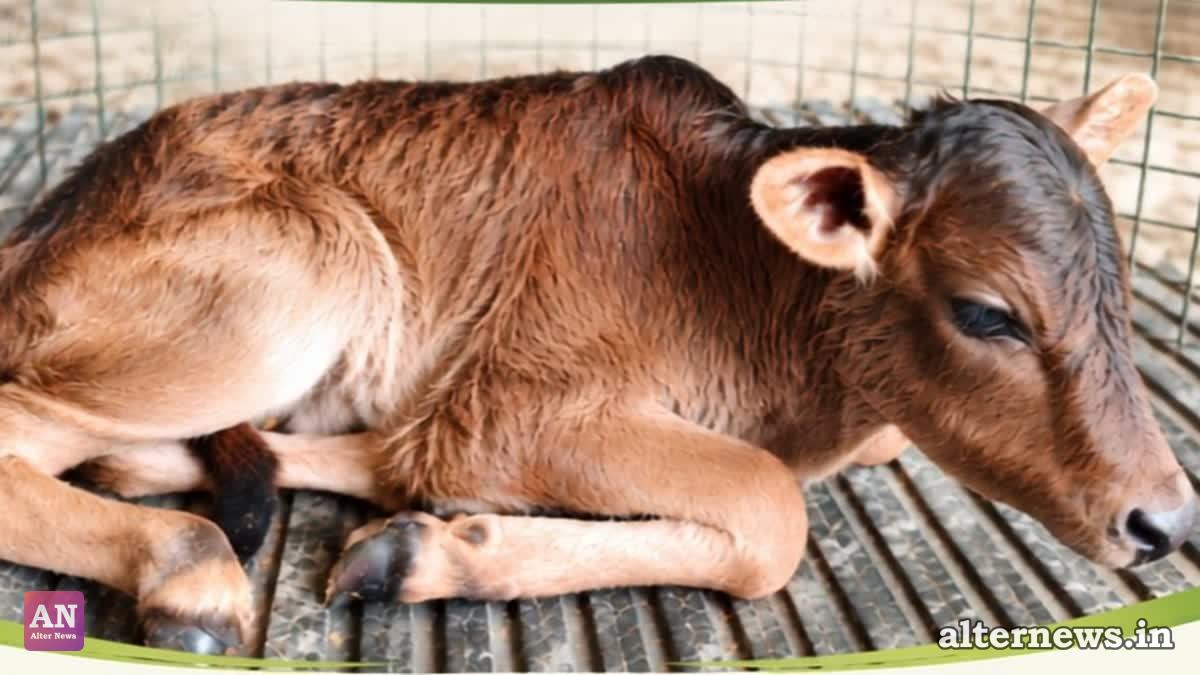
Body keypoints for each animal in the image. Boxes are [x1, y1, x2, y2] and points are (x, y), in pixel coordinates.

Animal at [0, 55, 1194, 655]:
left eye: (1116, 292)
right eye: (988, 313)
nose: (1166, 521)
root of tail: (51, 215)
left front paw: (430, 544)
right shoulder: (513, 404)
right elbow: (770, 511)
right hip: (313, 270)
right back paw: (192, 569)